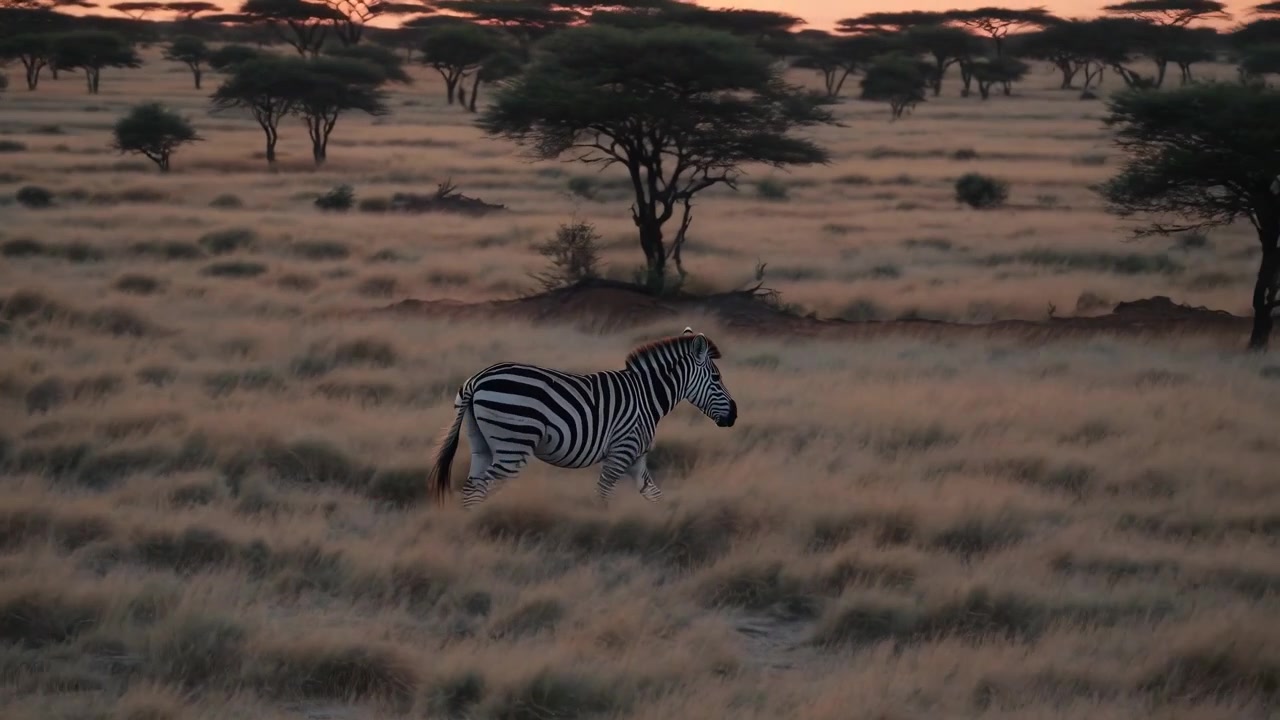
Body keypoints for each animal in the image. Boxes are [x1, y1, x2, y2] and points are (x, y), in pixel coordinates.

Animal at [426, 327, 737, 508]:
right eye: (716, 378)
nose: (734, 415)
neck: (647, 397)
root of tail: (476, 380)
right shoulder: (620, 452)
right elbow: (603, 495)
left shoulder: (636, 457)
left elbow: (655, 495)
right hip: (513, 445)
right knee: (483, 486)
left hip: (481, 443)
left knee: (472, 487)